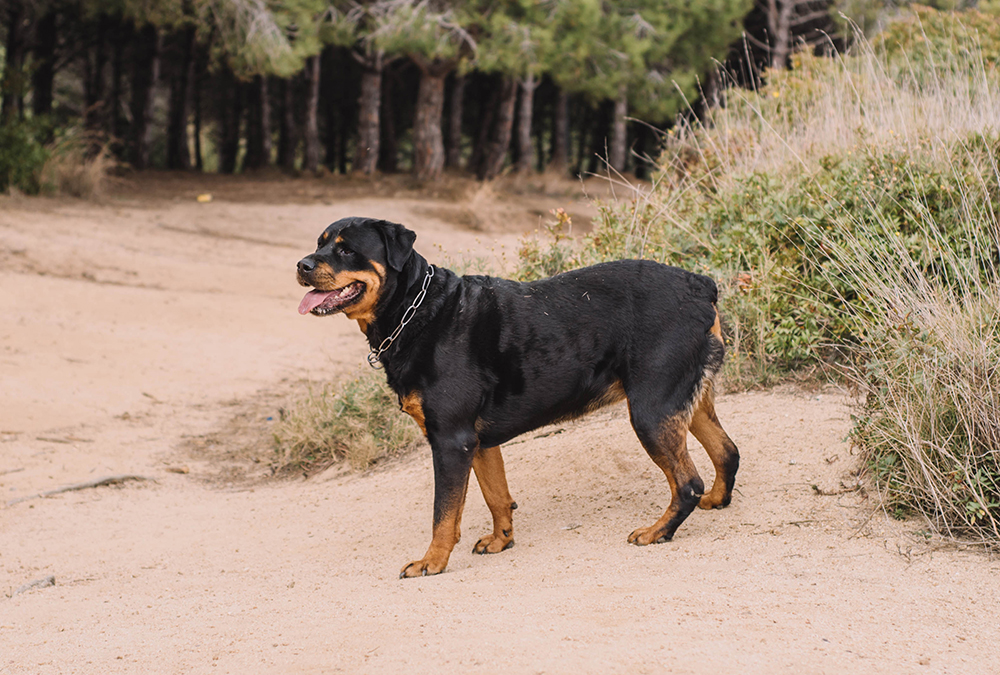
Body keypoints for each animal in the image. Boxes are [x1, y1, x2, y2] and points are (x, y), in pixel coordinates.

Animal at [292, 219, 740, 580]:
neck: (416, 312)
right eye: (319, 244)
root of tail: (699, 284)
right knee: (726, 451)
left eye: (346, 249)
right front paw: (500, 540)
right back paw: (716, 501)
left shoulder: (451, 441)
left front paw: (432, 562)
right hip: (683, 400)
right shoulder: (477, 442)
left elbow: (443, 514)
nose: (302, 265)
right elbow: (496, 497)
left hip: (649, 409)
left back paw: (656, 532)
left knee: (687, 482)